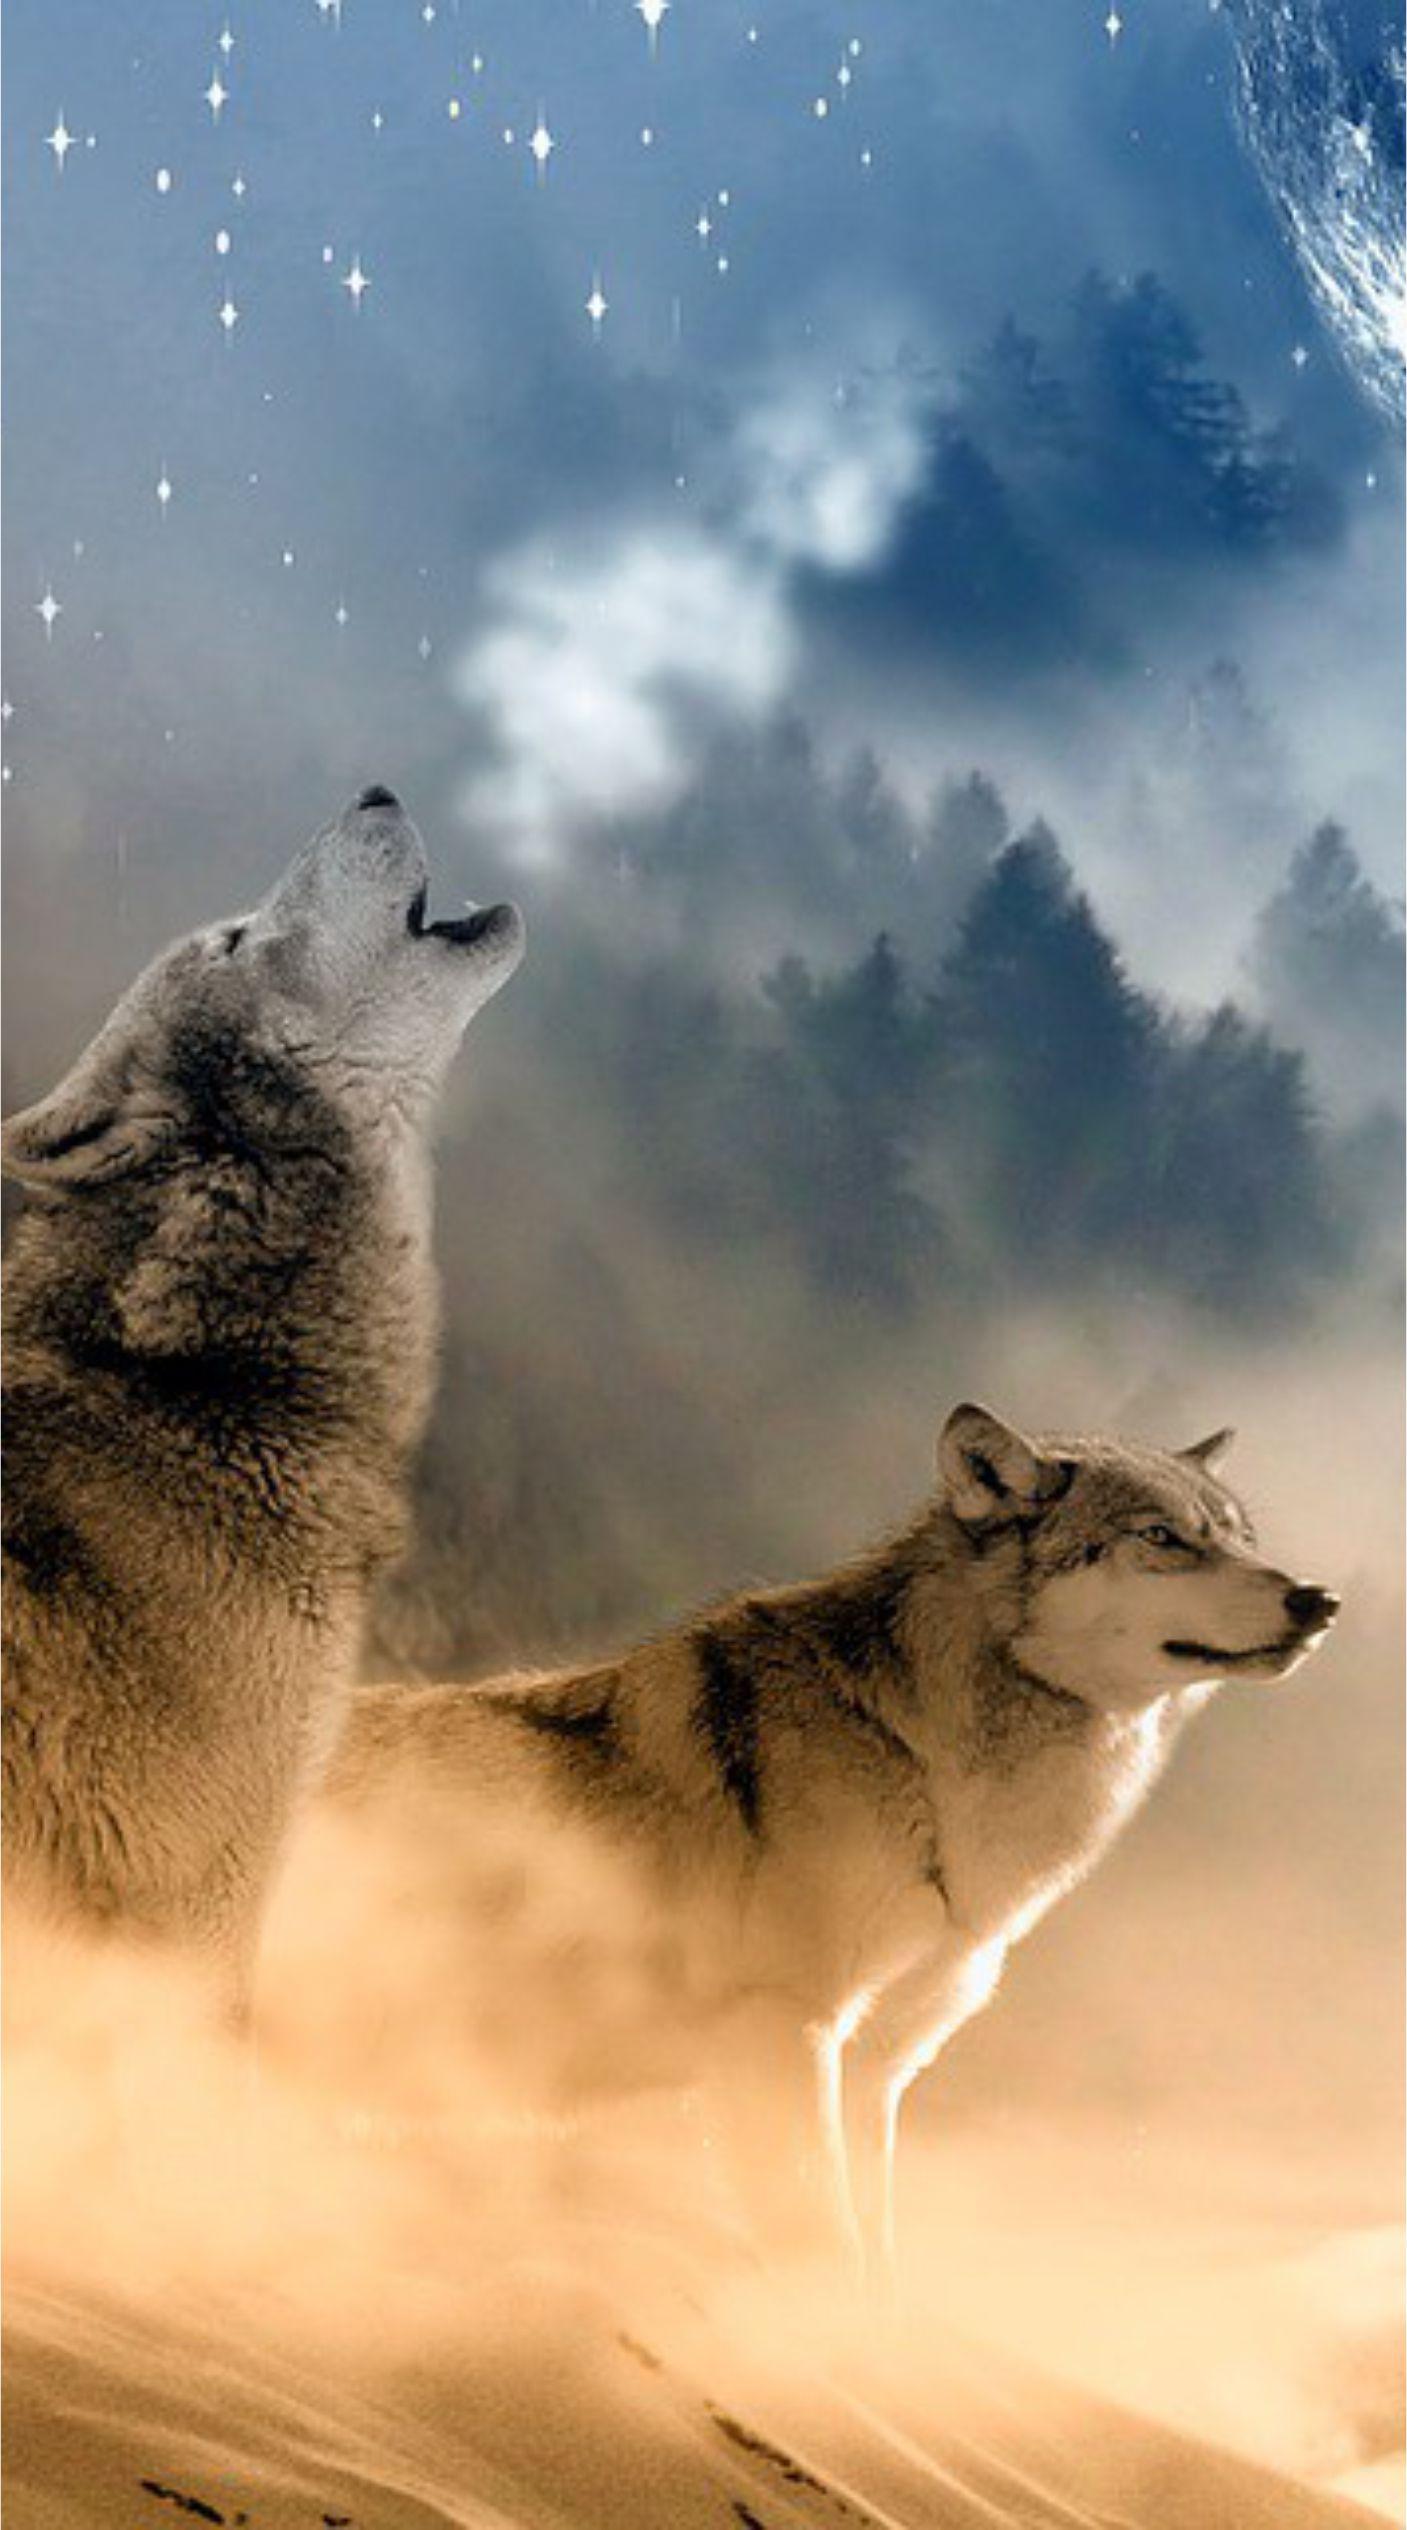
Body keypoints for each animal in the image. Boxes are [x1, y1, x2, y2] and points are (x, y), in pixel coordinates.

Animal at [270, 1402, 1339, 2271]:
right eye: (1162, 1538)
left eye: (1240, 1538)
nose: (1317, 1599)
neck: (929, 1768)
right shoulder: (785, 2033)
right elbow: (819, 2251)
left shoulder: (876, 2073)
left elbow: (875, 2261)